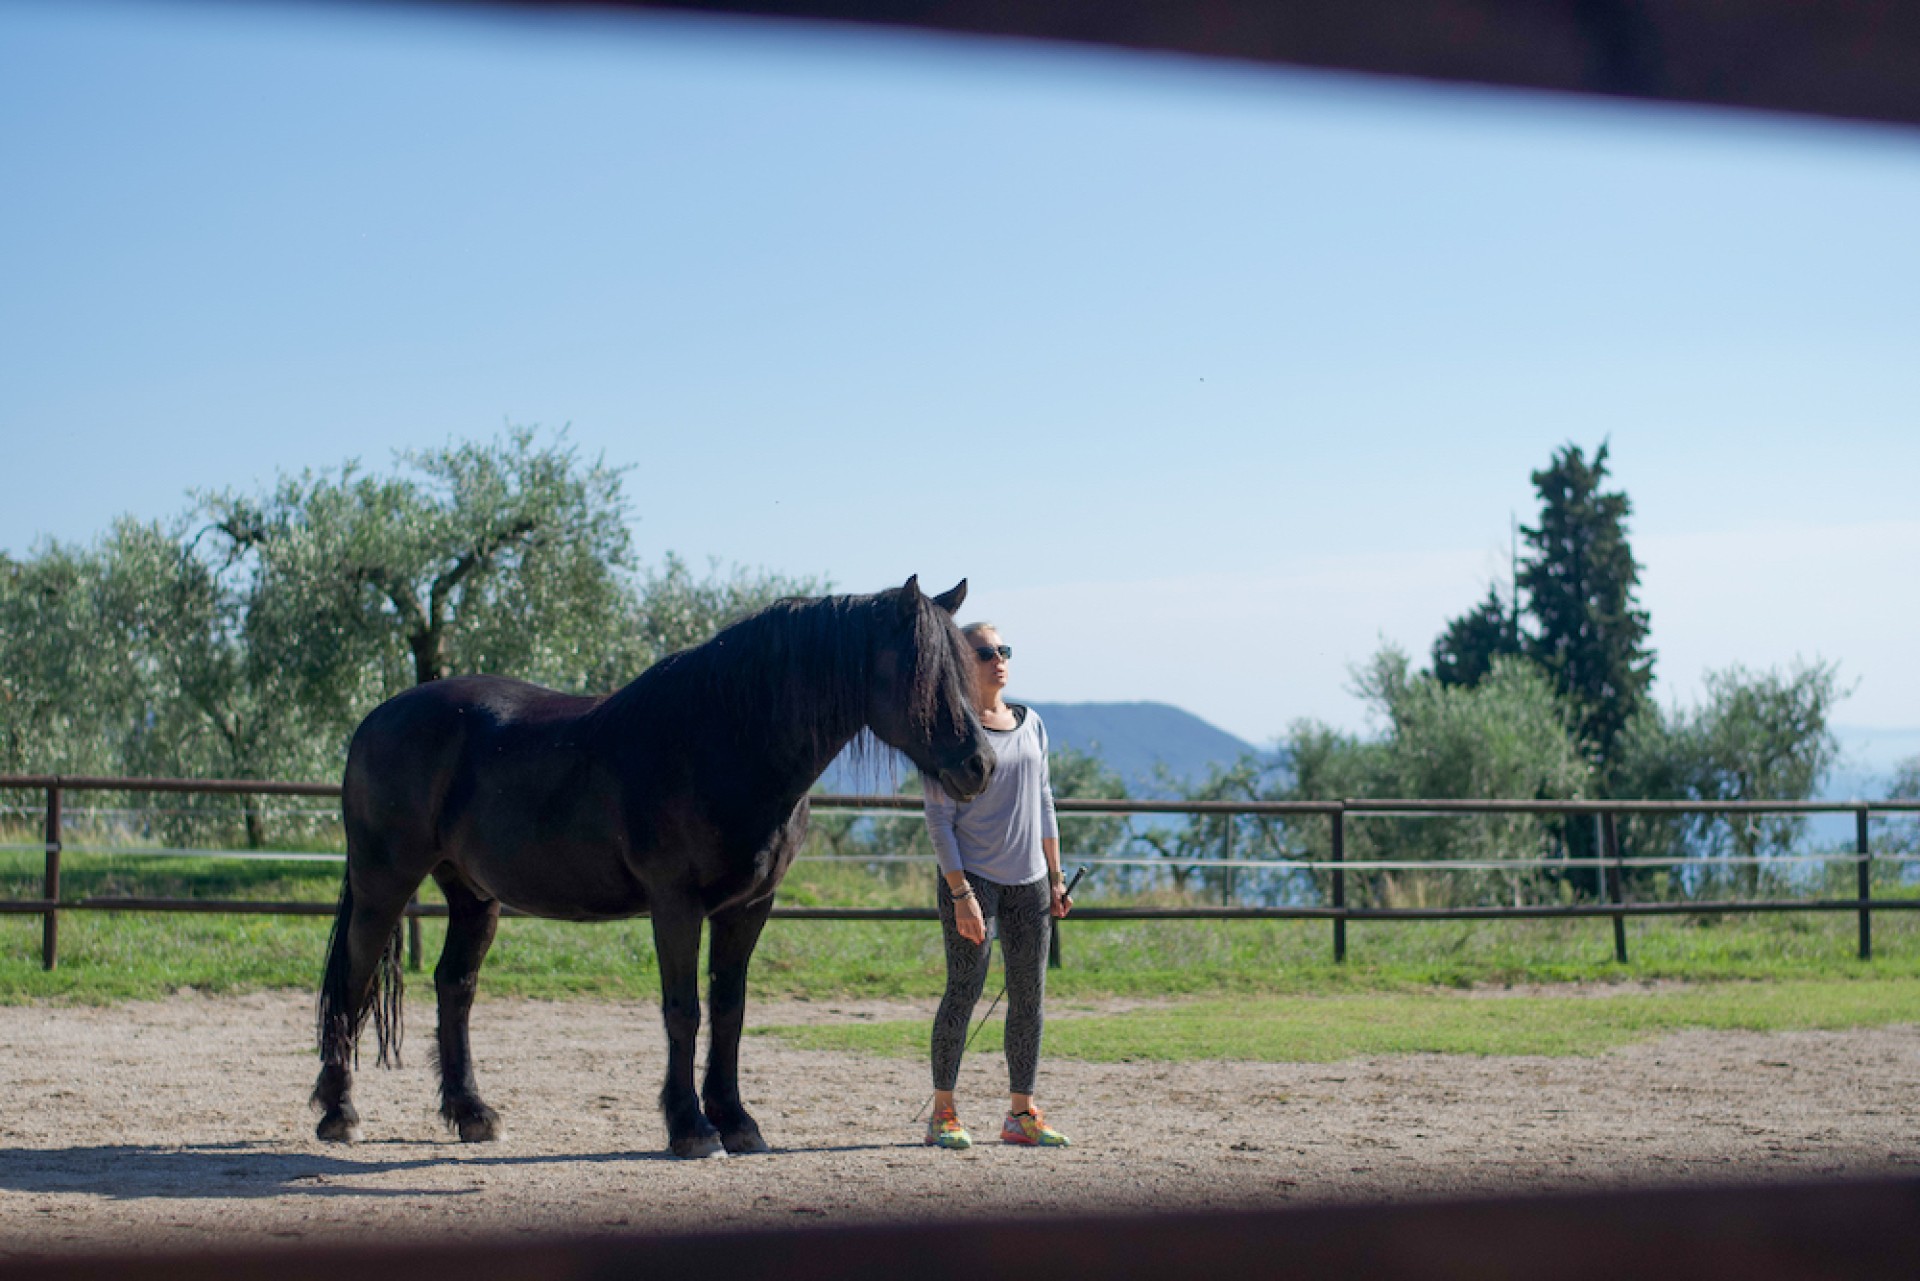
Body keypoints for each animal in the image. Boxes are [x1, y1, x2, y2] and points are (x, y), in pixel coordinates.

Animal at [311, 576, 990, 1160]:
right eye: (921, 672)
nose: (979, 765)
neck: (723, 742)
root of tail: (373, 720)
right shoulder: (676, 904)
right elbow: (683, 1011)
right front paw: (691, 1128)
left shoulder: (747, 909)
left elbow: (729, 1009)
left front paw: (738, 1122)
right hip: (383, 882)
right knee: (353, 978)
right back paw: (340, 1114)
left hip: (473, 895)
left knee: (455, 986)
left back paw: (473, 1114)